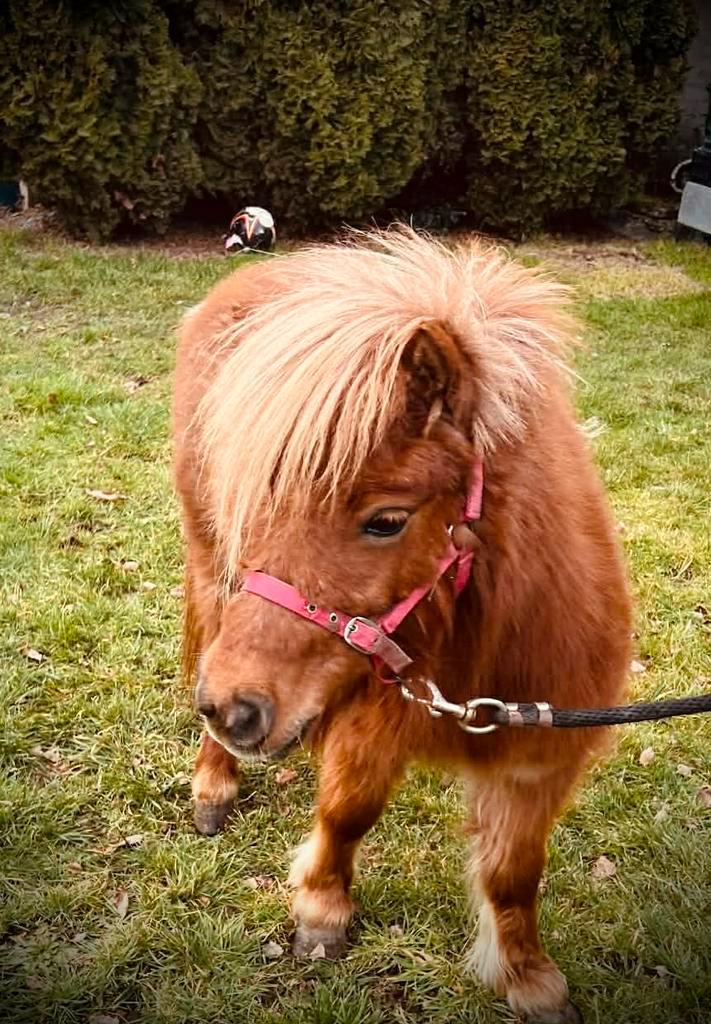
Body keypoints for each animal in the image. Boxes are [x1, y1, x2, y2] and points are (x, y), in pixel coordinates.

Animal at [172, 228, 631, 1023]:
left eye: (385, 521)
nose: (234, 708)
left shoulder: (539, 755)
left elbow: (514, 871)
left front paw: (526, 976)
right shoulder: (371, 716)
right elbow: (348, 810)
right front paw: (322, 913)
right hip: (213, 571)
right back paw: (214, 787)